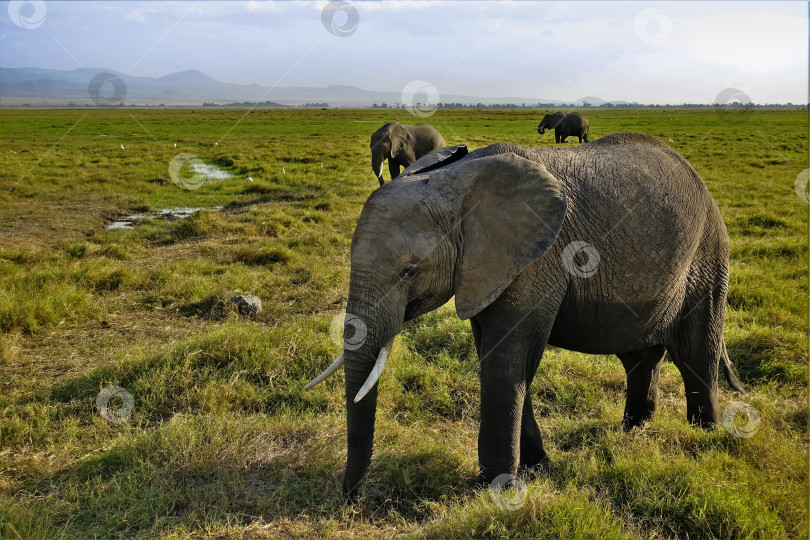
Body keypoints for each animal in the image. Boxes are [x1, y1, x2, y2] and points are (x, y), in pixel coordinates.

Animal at [308, 133, 744, 496]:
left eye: (410, 271)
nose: (354, 496)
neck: (459, 179)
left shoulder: (538, 259)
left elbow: (507, 360)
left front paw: (497, 489)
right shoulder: (487, 268)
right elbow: (499, 355)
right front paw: (538, 470)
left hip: (707, 253)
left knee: (697, 350)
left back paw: (705, 438)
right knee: (639, 355)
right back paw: (634, 431)